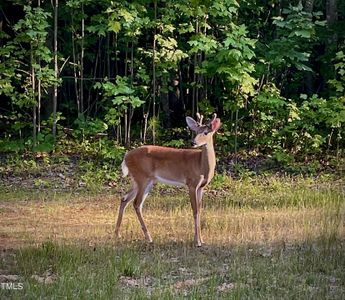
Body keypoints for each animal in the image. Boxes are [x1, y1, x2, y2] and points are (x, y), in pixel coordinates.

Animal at [115, 112, 220, 246]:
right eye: (196, 131)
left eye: (206, 132)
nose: (193, 142)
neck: (201, 165)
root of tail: (126, 156)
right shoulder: (191, 183)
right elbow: (195, 211)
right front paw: (197, 241)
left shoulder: (201, 187)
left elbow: (200, 210)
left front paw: (201, 239)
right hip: (142, 177)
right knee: (136, 203)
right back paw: (148, 237)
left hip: (142, 180)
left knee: (125, 199)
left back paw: (117, 233)